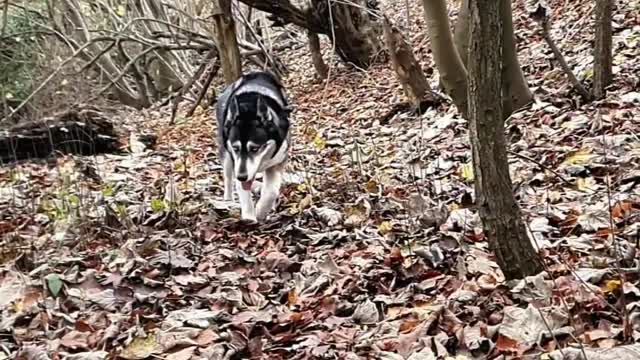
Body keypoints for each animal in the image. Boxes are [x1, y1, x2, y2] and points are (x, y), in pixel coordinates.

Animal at [218, 71, 292, 221]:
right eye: (236, 148)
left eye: (254, 149)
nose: (241, 176)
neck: (248, 109)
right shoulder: (236, 162)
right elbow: (242, 189)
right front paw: (249, 217)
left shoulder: (277, 162)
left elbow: (271, 191)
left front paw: (261, 211)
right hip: (227, 156)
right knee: (228, 178)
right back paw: (228, 200)